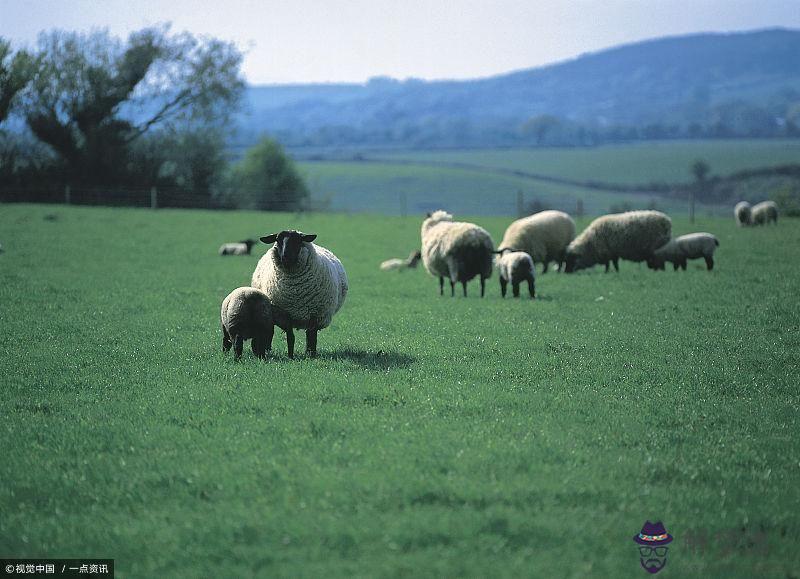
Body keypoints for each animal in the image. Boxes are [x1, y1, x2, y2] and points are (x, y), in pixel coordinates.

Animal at [253, 230, 346, 358]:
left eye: (297, 240)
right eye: (278, 240)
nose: (285, 256)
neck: (295, 290)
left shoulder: (315, 313)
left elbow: (311, 337)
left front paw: (311, 355)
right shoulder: (285, 314)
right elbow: (290, 337)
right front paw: (291, 356)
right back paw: (267, 349)